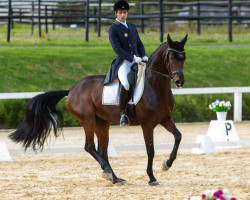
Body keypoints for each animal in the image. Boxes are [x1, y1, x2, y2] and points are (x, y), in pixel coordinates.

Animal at [9, 34, 188, 186]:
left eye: (183, 57)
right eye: (172, 57)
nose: (179, 81)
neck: (155, 87)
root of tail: (72, 90)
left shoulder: (165, 119)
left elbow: (178, 136)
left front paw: (167, 164)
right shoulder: (147, 124)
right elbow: (150, 150)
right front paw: (152, 178)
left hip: (102, 123)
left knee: (102, 151)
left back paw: (114, 177)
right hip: (88, 120)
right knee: (90, 147)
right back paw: (109, 173)